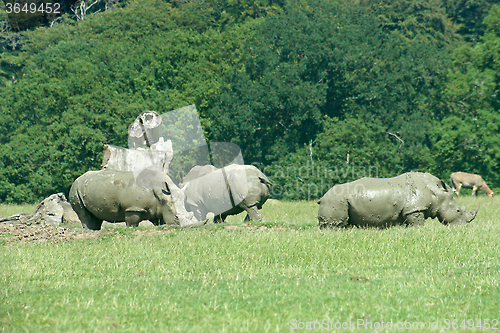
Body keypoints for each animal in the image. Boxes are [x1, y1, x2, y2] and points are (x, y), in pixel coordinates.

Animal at [318, 171, 478, 228]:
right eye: (458, 211)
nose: (464, 227)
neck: (437, 194)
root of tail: (322, 197)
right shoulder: (414, 209)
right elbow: (417, 225)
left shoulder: (408, 211)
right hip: (335, 201)